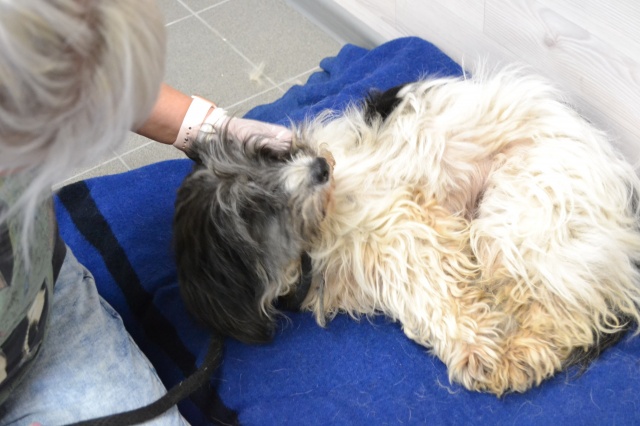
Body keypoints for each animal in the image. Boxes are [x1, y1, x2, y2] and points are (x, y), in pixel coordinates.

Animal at [173, 66, 640, 396]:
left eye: (268, 156)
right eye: (252, 210)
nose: (321, 166)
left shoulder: (403, 219)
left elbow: (433, 286)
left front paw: (478, 348)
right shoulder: (382, 251)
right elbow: (417, 290)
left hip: (520, 216)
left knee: (565, 316)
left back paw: (520, 353)